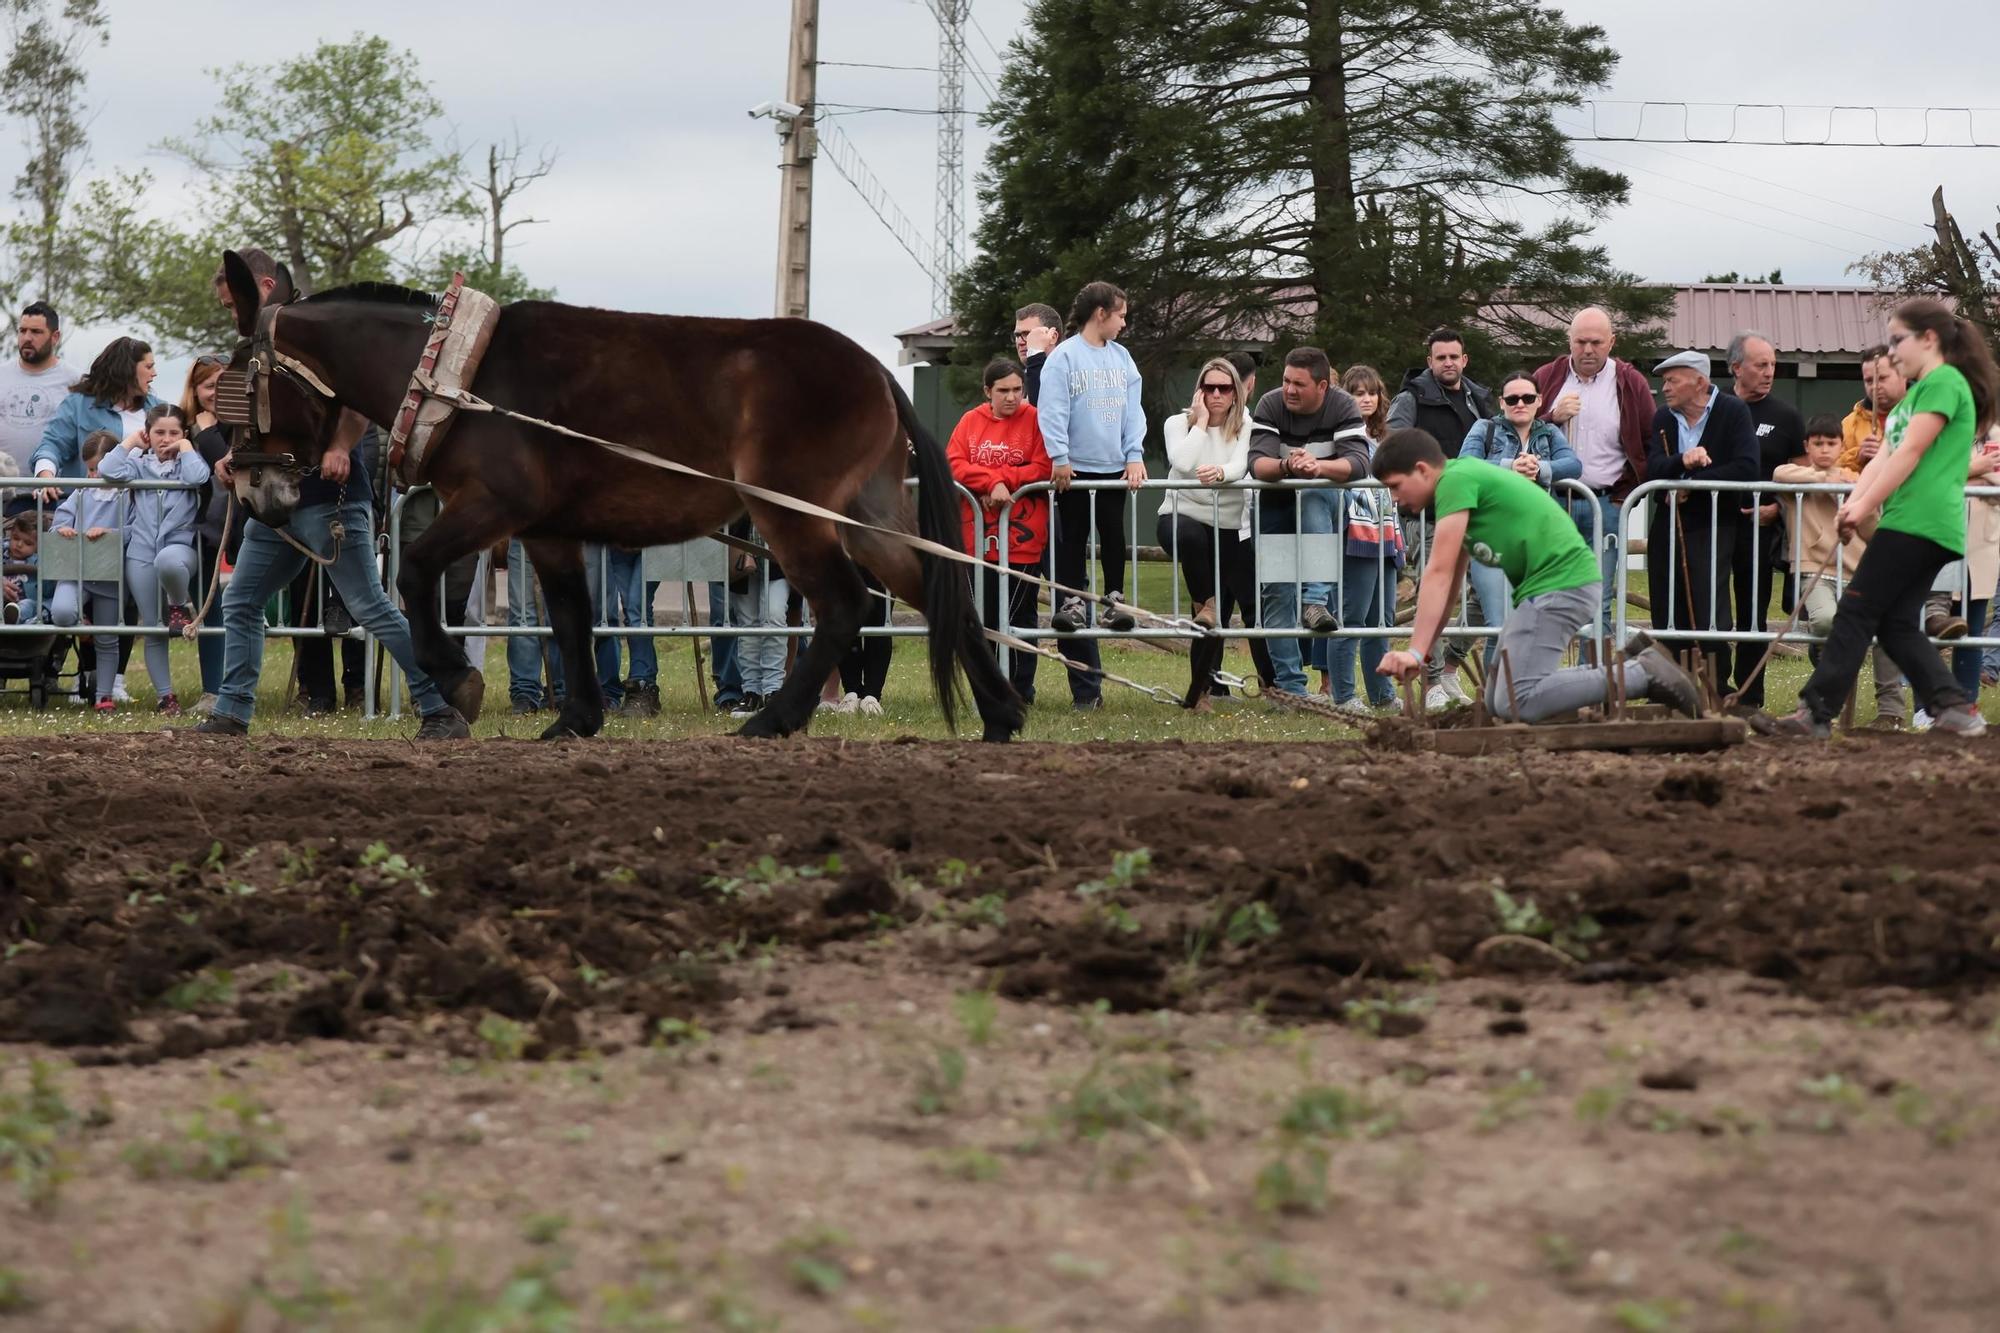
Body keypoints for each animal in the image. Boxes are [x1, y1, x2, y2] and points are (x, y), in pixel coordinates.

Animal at [217, 252, 1024, 736]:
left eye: (234, 381)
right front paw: (575, 716)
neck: (456, 374)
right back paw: (1002, 713)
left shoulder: (493, 505)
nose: (250, 488)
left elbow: (415, 571)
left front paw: (455, 677)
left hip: (789, 512)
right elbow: (572, 617)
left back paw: (772, 720)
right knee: (938, 587)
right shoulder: (547, 530)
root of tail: (875, 368)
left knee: (845, 605)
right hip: (864, 515)